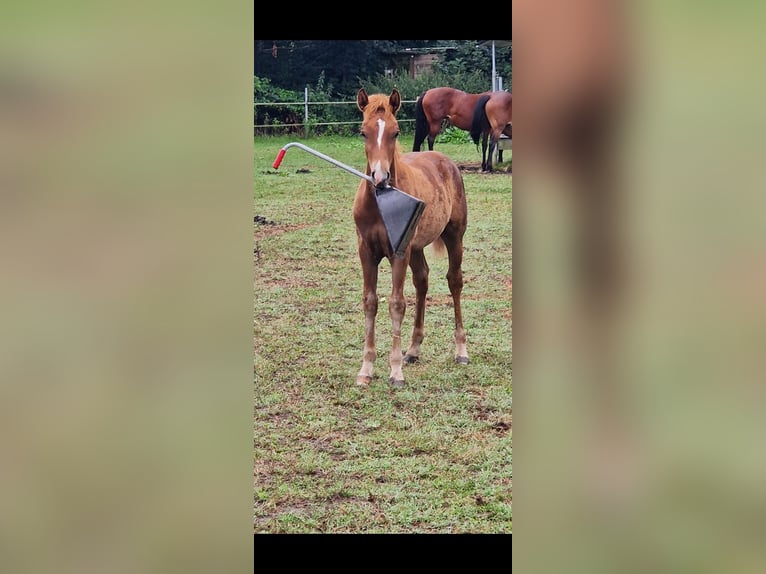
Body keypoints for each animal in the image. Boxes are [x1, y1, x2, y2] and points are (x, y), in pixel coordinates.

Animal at [356, 88, 472, 390]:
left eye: (396, 132)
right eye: (363, 132)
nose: (380, 177)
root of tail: (445, 160)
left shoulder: (399, 251)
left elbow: (397, 304)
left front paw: (395, 372)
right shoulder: (366, 251)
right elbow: (370, 302)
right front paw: (366, 369)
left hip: (454, 236)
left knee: (454, 282)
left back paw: (461, 351)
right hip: (417, 248)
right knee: (422, 281)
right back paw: (413, 349)